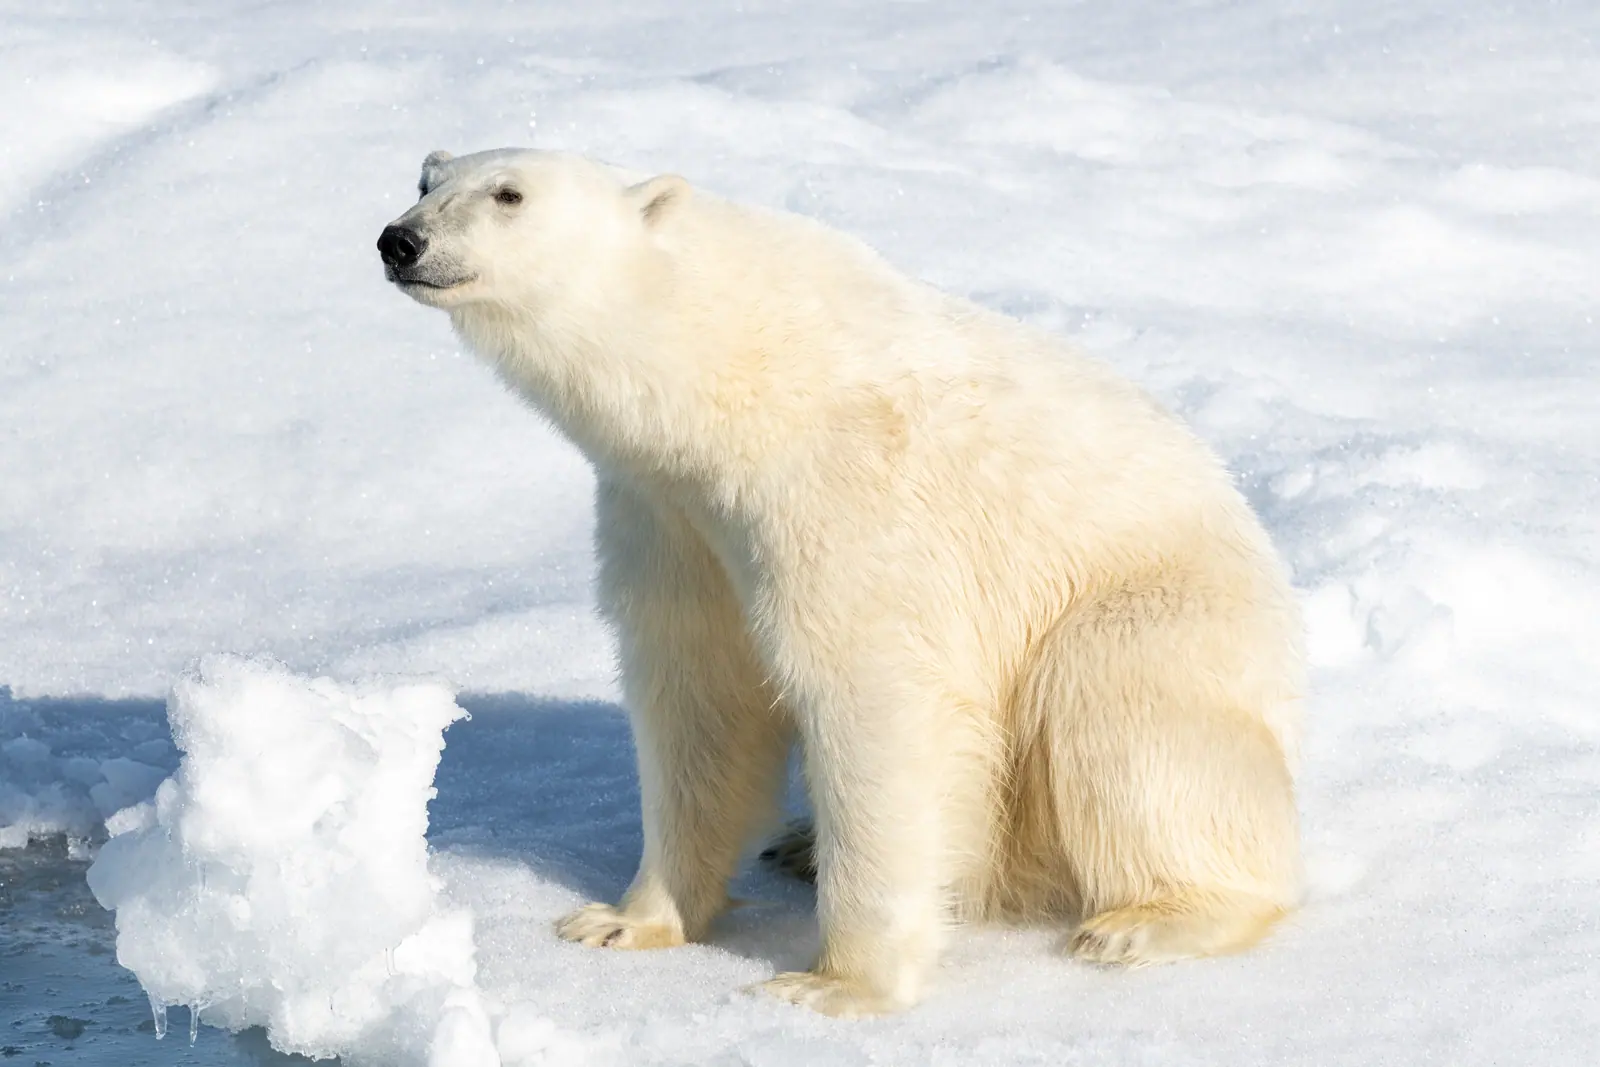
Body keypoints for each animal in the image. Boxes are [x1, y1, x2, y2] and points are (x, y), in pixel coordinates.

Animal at [378, 149, 1305, 1018]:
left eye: (509, 194)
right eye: (426, 179)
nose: (400, 241)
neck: (730, 372)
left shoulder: (846, 492)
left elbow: (874, 694)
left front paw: (834, 984)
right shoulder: (669, 513)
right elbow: (698, 695)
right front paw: (624, 919)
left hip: (1158, 613)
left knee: (1120, 714)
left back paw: (1147, 920)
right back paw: (797, 843)